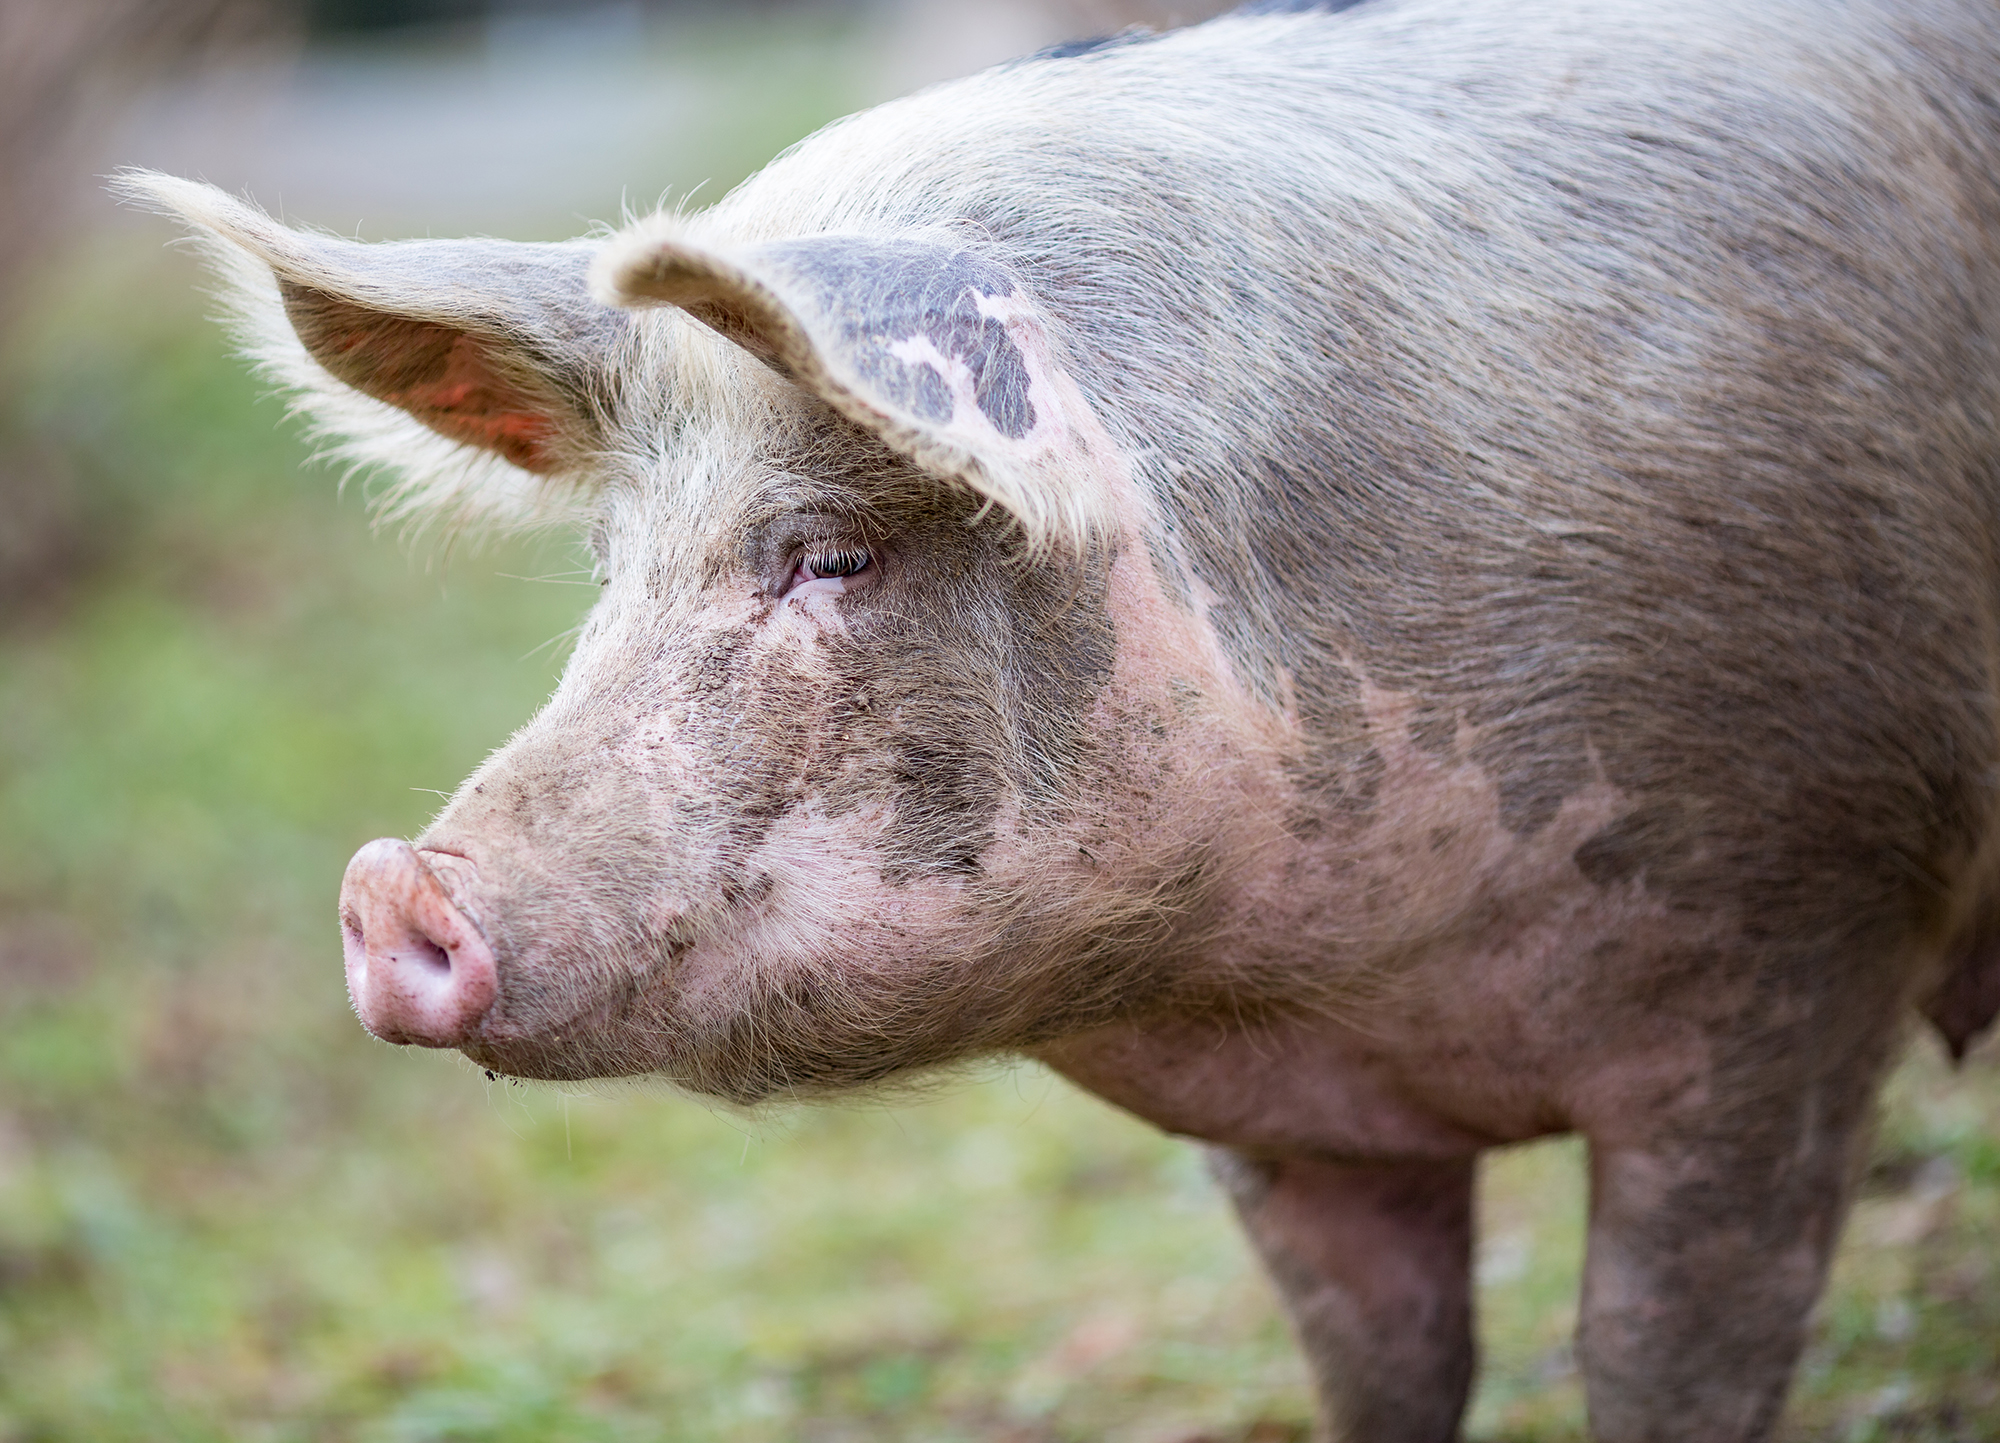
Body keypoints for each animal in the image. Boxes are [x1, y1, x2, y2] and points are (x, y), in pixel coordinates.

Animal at [125, 0, 2000, 1431]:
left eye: (829, 551)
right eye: (606, 563)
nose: (392, 884)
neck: (1340, 984)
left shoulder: (1793, 940)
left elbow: (1665, 1359)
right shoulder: (1302, 1129)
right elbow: (1385, 1368)